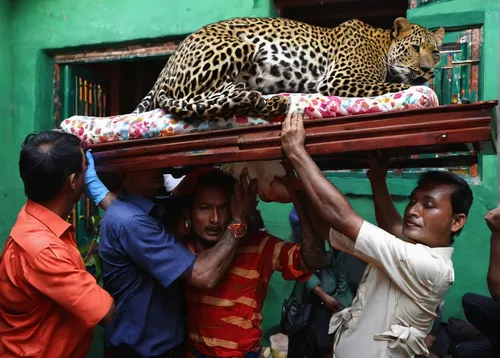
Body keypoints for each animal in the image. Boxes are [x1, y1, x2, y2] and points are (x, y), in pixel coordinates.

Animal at [132, 16, 442, 119]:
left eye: (436, 53)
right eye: (415, 48)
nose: (427, 69)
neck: (382, 42)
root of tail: (166, 65)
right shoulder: (340, 78)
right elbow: (399, 84)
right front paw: (424, 85)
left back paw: (264, 101)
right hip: (239, 47)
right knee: (188, 98)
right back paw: (255, 98)